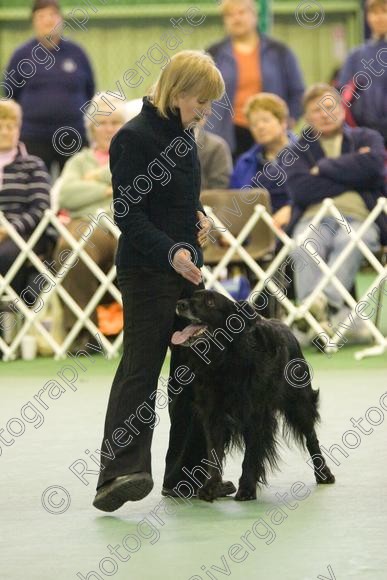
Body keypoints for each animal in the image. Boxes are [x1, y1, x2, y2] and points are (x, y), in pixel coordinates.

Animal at [171, 290, 334, 502]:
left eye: (210, 302)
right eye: (193, 295)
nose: (180, 304)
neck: (225, 358)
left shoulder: (256, 413)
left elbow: (251, 454)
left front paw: (247, 488)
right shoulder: (213, 414)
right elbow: (214, 452)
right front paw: (211, 486)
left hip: (299, 402)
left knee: (311, 438)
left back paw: (324, 473)